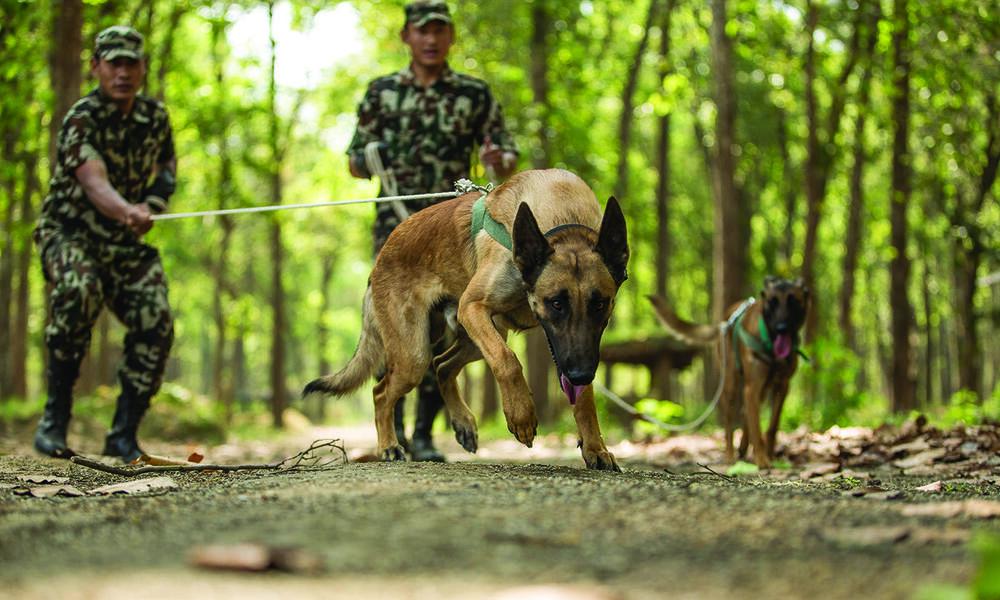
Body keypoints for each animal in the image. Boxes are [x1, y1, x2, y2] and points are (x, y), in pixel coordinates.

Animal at [304, 168, 628, 468]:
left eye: (600, 304)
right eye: (556, 303)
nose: (581, 374)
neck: (563, 219)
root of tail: (379, 261)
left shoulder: (570, 347)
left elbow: (583, 398)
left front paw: (594, 447)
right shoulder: (473, 307)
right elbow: (508, 361)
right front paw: (521, 414)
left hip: (476, 339)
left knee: (442, 366)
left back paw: (462, 423)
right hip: (416, 354)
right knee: (382, 391)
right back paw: (389, 446)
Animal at [648, 276, 812, 468]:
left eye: (793, 301)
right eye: (772, 302)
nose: (781, 328)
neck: (771, 346)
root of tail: (725, 321)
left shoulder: (782, 386)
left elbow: (772, 426)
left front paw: (770, 455)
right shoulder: (752, 387)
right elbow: (756, 427)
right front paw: (762, 459)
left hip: (760, 389)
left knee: (745, 412)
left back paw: (743, 447)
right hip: (731, 385)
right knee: (730, 420)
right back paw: (730, 454)